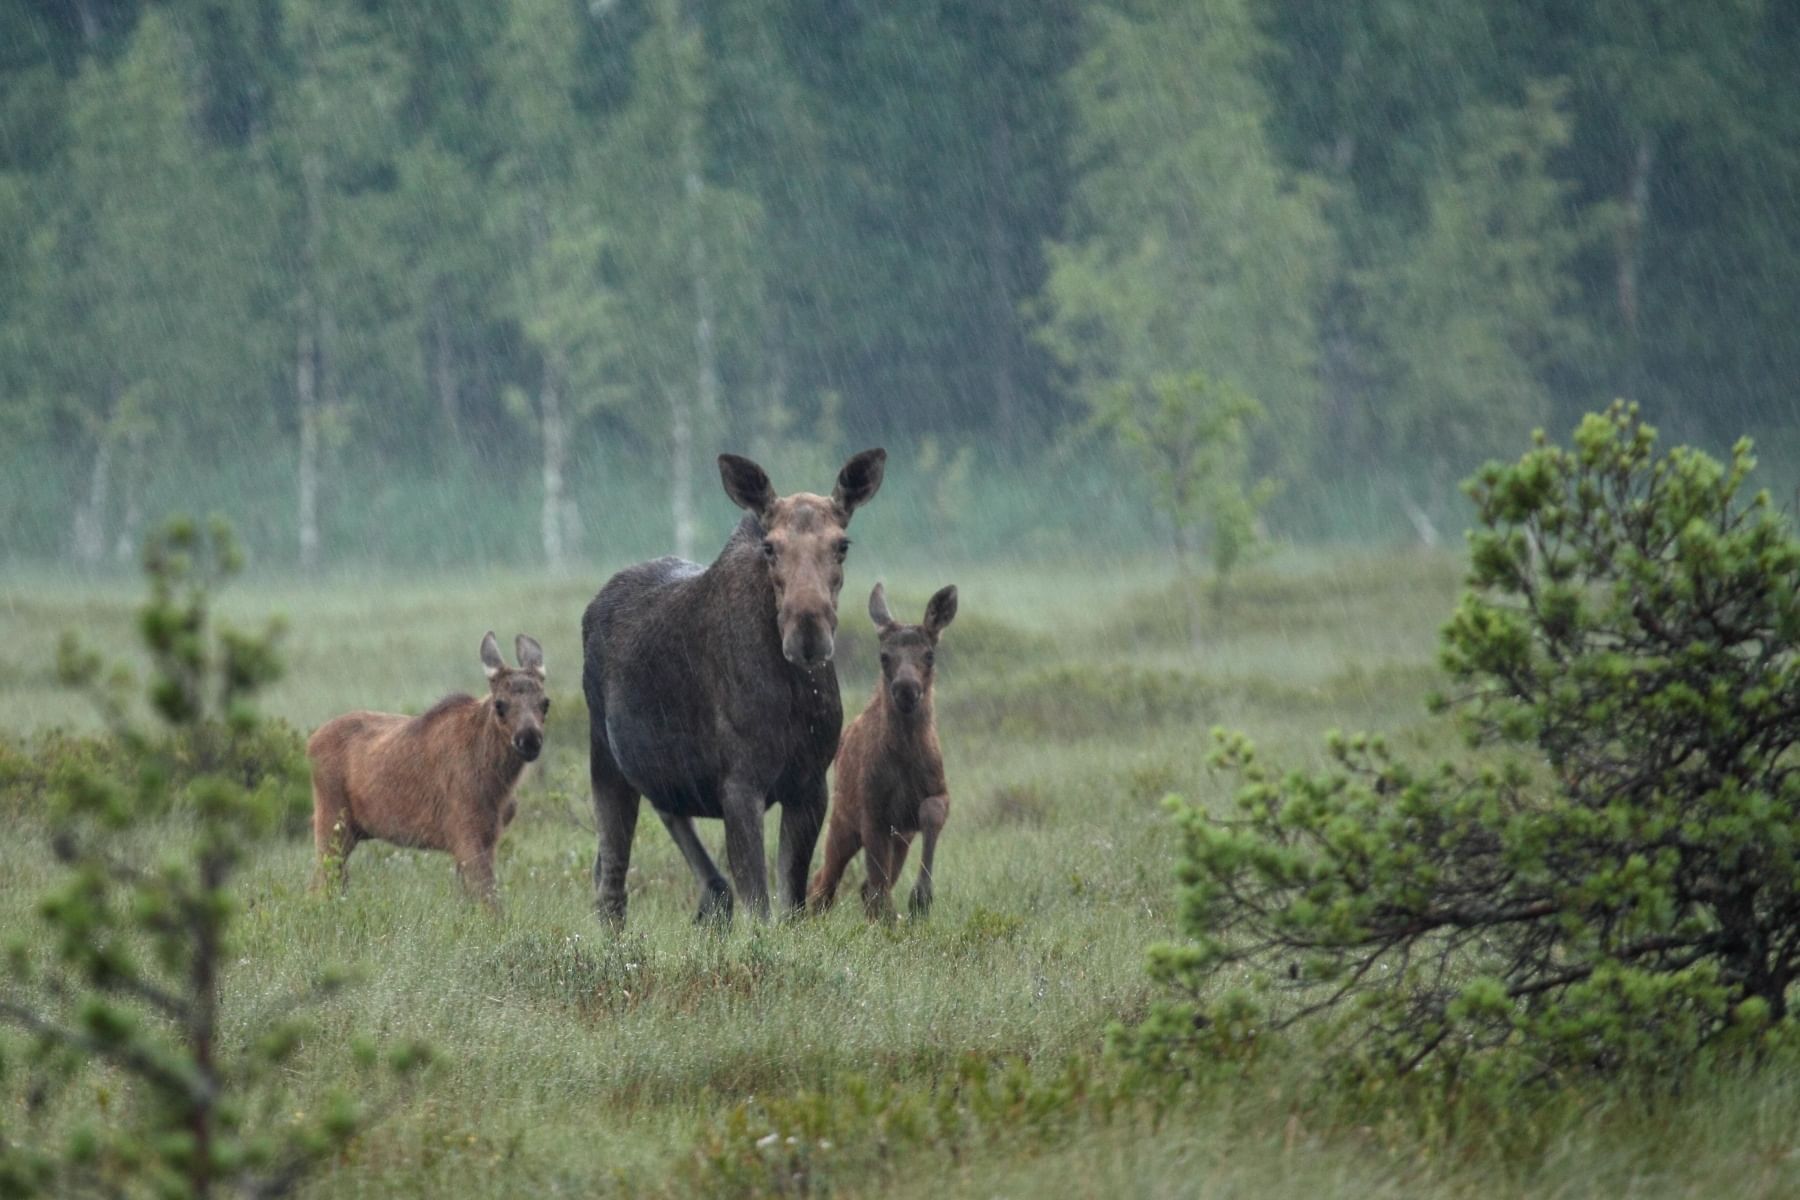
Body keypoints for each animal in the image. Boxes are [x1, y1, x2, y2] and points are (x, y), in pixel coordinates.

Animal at [309, 633, 547, 906]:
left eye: (545, 703)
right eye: (500, 704)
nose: (529, 739)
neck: (497, 782)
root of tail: (310, 742)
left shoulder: (489, 837)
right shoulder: (466, 832)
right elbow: (490, 901)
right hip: (330, 821)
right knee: (319, 884)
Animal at [583, 446, 885, 928]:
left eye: (842, 544)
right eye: (770, 546)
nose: (808, 634)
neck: (792, 690)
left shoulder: (810, 784)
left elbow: (792, 904)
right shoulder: (741, 784)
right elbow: (760, 907)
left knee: (668, 822)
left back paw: (711, 899)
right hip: (605, 757)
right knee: (611, 879)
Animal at [810, 586, 957, 928]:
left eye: (929, 654)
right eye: (884, 656)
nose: (906, 689)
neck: (905, 757)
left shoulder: (936, 795)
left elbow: (931, 812)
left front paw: (921, 898)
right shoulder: (871, 809)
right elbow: (877, 883)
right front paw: (893, 917)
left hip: (898, 837)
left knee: (862, 884)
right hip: (842, 816)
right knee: (825, 882)